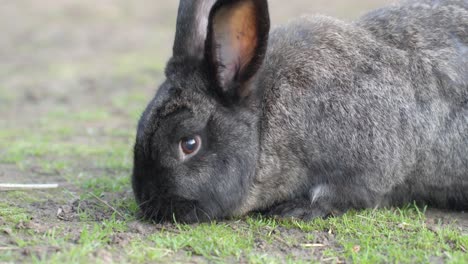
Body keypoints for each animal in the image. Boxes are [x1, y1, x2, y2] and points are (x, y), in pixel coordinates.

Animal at [132, 0, 468, 223]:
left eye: (189, 144)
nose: (147, 201)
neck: (265, 124)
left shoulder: (373, 162)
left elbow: (348, 193)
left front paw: (297, 209)